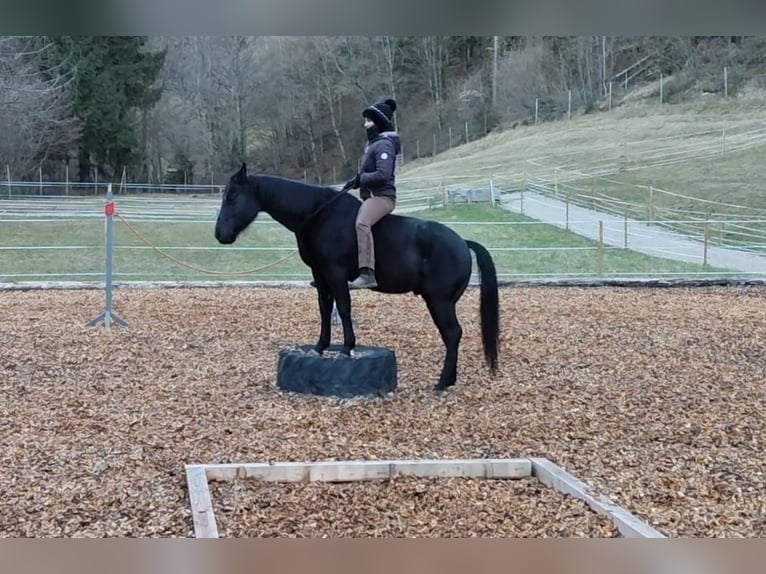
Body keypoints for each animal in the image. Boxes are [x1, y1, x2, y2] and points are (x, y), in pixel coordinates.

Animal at [214, 163, 500, 391]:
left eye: (233, 196)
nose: (219, 234)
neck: (320, 215)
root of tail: (462, 242)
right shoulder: (320, 276)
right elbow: (324, 309)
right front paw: (320, 346)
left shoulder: (336, 274)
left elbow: (343, 307)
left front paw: (346, 348)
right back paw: (448, 380)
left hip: (439, 301)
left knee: (452, 334)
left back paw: (442, 382)